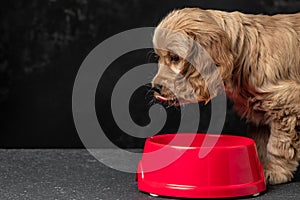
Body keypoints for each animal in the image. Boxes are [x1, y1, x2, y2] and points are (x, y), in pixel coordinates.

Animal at [151, 7, 300, 184]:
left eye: (175, 58)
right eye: (158, 57)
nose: (155, 87)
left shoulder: (286, 103)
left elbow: (278, 144)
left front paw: (274, 171)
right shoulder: (259, 111)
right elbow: (261, 143)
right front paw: (258, 167)